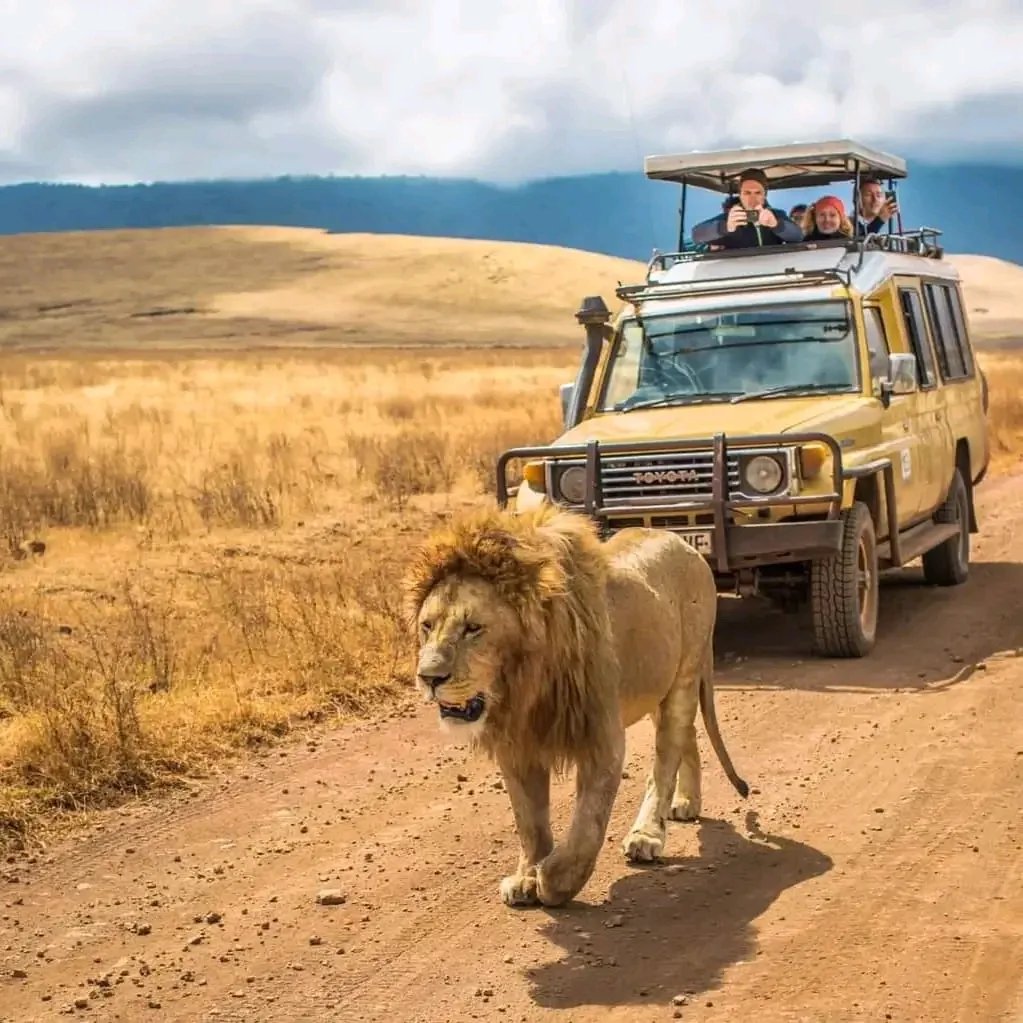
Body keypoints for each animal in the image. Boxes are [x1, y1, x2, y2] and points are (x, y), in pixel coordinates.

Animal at [401, 503, 749, 909]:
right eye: (427, 626)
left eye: (473, 628)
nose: (428, 677)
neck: (523, 685)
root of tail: (683, 543)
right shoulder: (517, 744)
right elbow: (529, 820)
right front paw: (526, 876)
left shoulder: (600, 737)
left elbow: (588, 824)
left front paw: (555, 880)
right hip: (656, 686)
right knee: (686, 736)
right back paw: (687, 801)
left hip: (685, 672)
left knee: (665, 758)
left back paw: (647, 834)